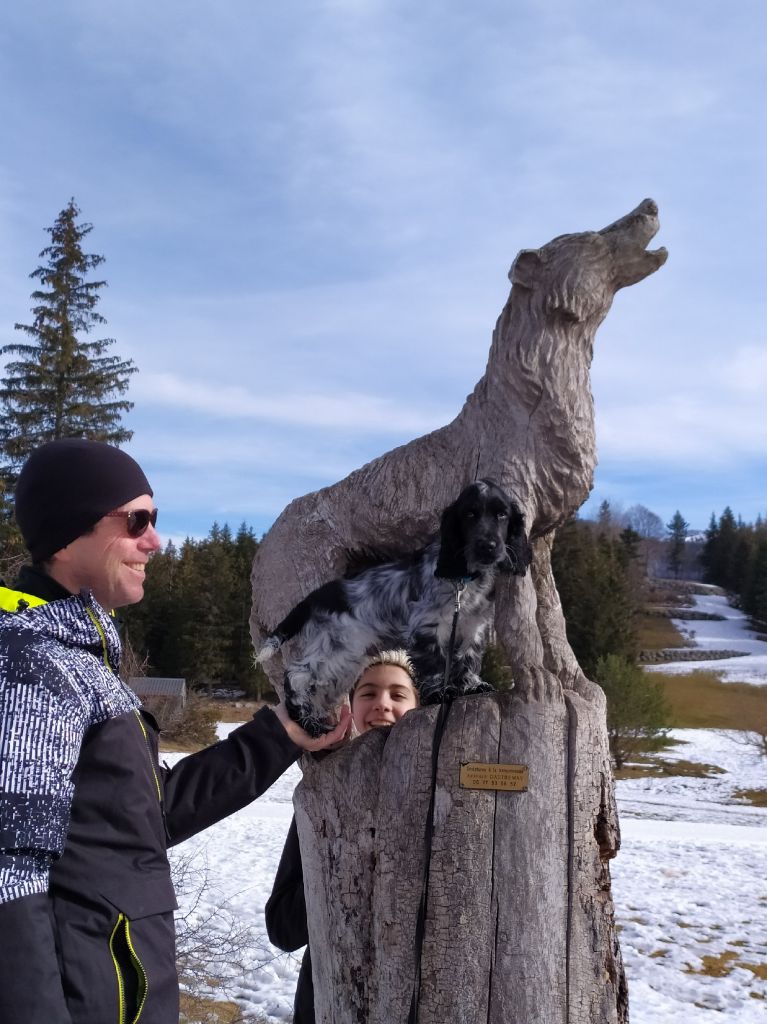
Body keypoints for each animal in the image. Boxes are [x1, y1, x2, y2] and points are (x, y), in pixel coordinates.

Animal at [259, 479, 532, 737]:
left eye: (502, 514)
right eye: (470, 514)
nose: (488, 546)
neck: (464, 578)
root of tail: (317, 596)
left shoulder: (472, 626)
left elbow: (468, 659)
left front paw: (471, 686)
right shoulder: (427, 625)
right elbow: (434, 663)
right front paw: (440, 693)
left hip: (346, 658)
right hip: (338, 646)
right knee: (297, 675)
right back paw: (309, 723)